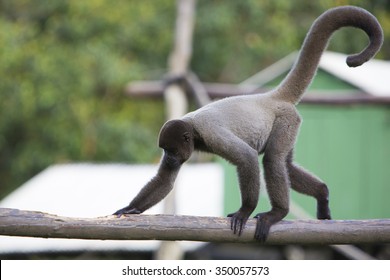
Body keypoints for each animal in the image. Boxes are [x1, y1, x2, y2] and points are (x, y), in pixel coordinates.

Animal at [115, 6, 384, 243]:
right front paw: (131, 208)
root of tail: (271, 97)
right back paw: (322, 193)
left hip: (286, 121)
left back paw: (277, 213)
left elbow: (247, 158)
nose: (169, 158)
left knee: (273, 159)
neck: (192, 127)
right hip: (290, 125)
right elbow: (166, 180)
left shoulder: (211, 134)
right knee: (286, 164)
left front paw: (244, 211)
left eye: (170, 150)